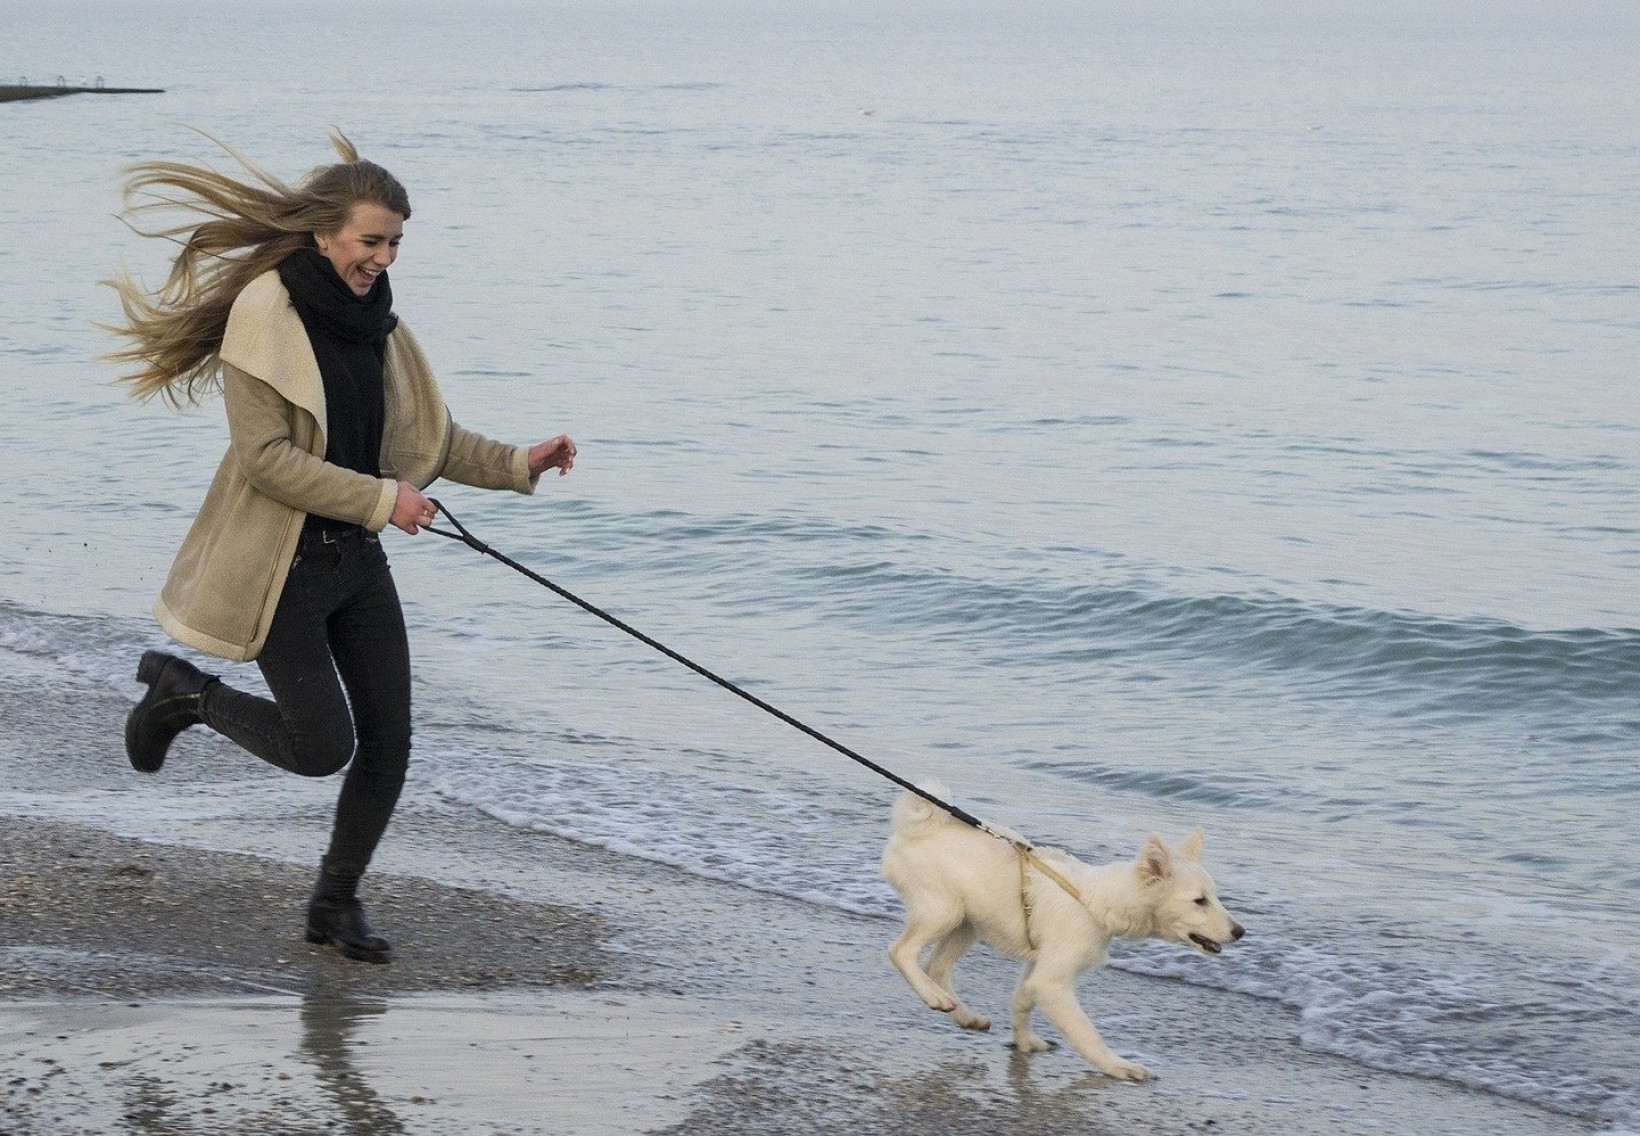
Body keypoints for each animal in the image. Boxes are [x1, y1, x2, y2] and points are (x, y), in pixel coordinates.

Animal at [885, 783, 1239, 1075]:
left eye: (1214, 897)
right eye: (1199, 901)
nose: (1240, 932)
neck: (1095, 900)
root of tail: (914, 829)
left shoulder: (1038, 970)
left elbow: (1022, 1003)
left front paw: (1026, 1042)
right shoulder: (1052, 981)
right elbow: (1086, 1032)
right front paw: (1118, 1066)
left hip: (967, 923)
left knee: (936, 965)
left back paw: (961, 1012)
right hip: (943, 912)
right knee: (901, 951)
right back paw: (934, 996)